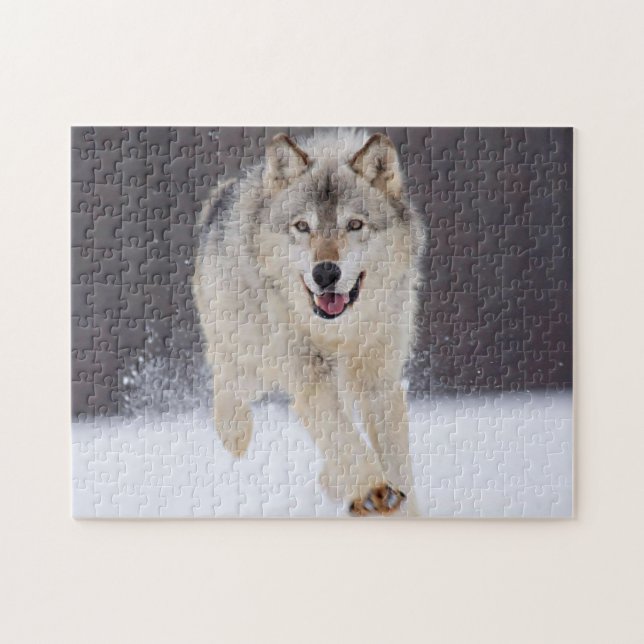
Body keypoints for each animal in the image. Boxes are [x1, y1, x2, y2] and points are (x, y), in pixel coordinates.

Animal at [193, 129, 422, 516]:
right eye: (302, 226)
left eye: (354, 225)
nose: (325, 273)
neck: (335, 332)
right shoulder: (308, 376)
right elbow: (343, 435)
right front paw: (374, 489)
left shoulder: (379, 379)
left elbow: (395, 458)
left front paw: (398, 502)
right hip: (251, 361)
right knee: (225, 381)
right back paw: (235, 433)